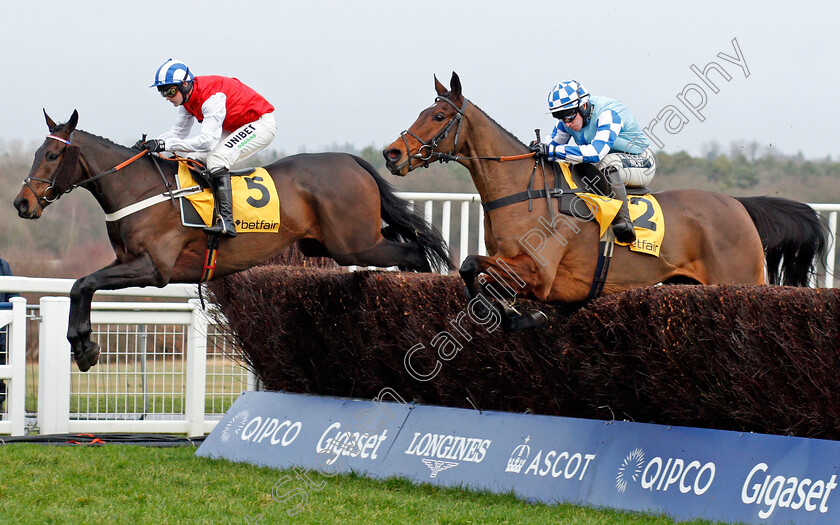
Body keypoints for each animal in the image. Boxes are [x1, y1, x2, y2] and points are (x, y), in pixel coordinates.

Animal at [14, 109, 452, 372]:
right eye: (36, 152)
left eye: (52, 155)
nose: (22, 203)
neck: (138, 188)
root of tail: (351, 160)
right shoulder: (128, 262)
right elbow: (80, 285)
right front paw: (82, 346)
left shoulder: (153, 268)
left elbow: (83, 282)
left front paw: (84, 346)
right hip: (331, 244)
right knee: (406, 244)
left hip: (354, 244)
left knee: (413, 249)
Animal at [384, 72, 832, 330]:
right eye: (423, 111)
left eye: (439, 117)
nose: (392, 154)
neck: (523, 192)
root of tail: (739, 206)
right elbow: (469, 270)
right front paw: (510, 313)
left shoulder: (538, 273)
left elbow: (476, 268)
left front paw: (517, 316)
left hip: (742, 279)